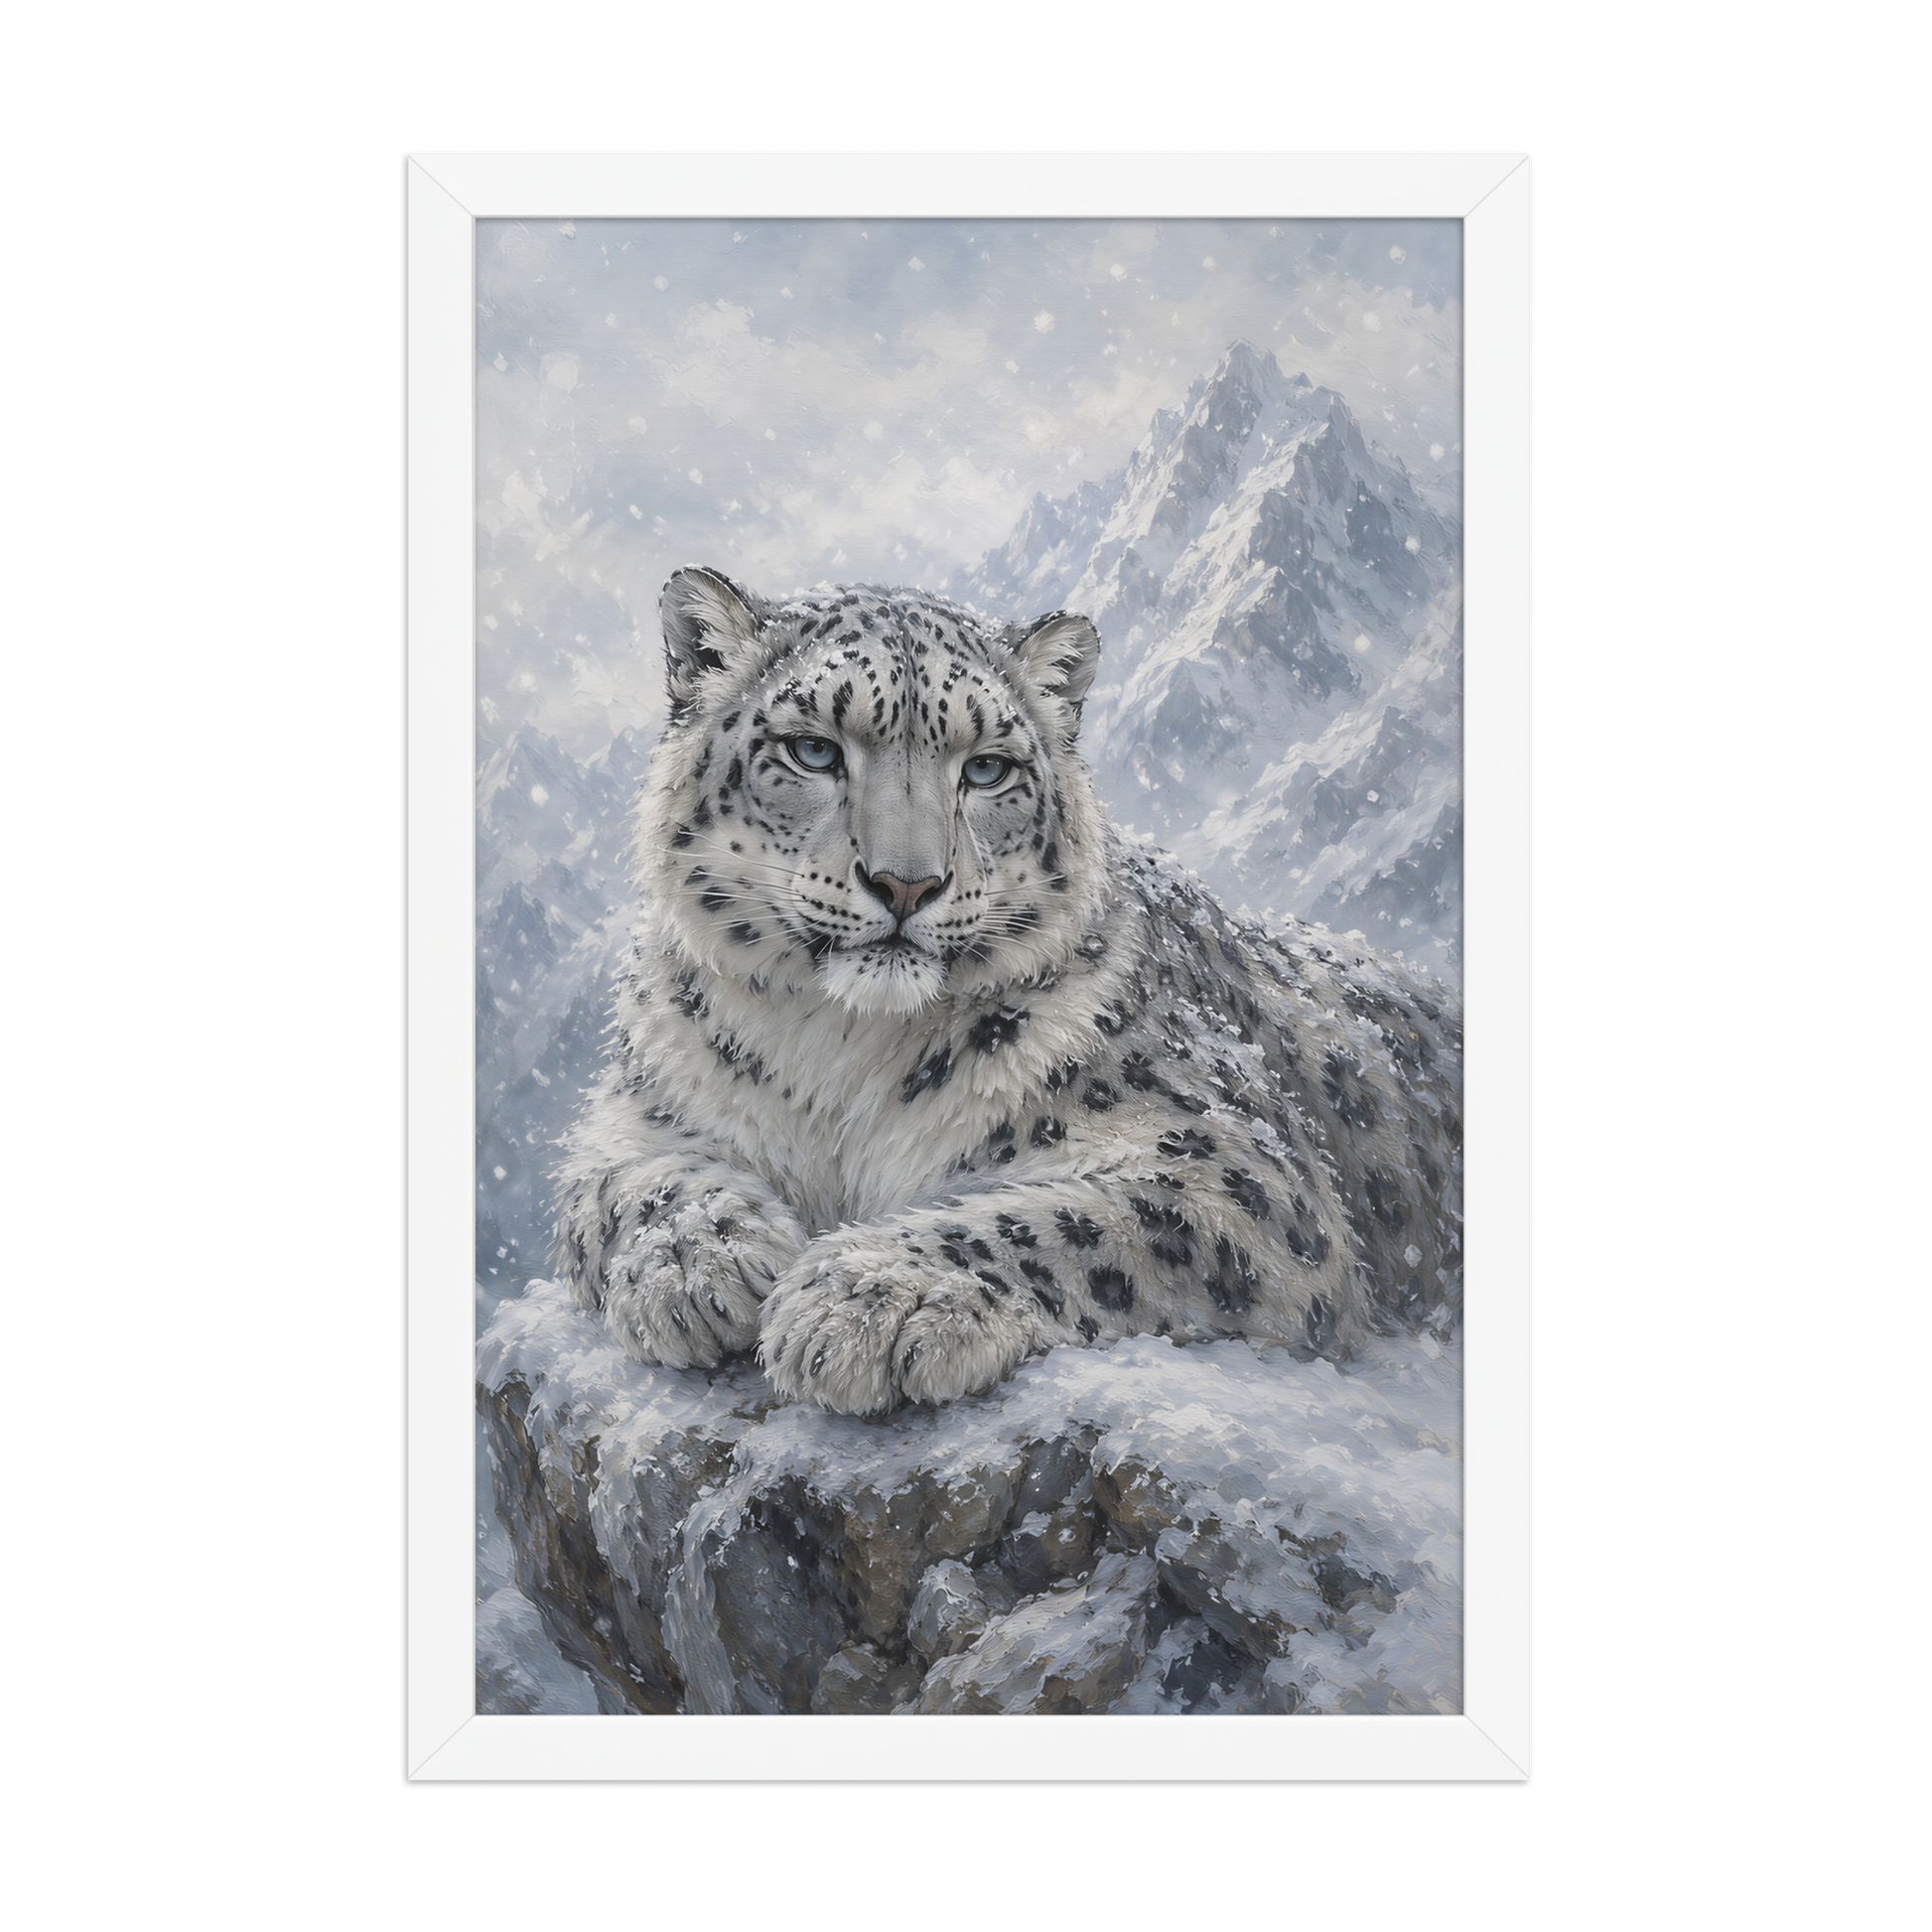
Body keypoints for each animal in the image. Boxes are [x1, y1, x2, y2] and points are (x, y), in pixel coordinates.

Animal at [552, 565, 1462, 1415]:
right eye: (813, 749)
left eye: (987, 769)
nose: (907, 883)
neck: (836, 1054)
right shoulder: (638, 1112)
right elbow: (625, 1183)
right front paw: (696, 1263)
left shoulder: (1237, 1172)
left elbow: (1065, 1220)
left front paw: (869, 1297)